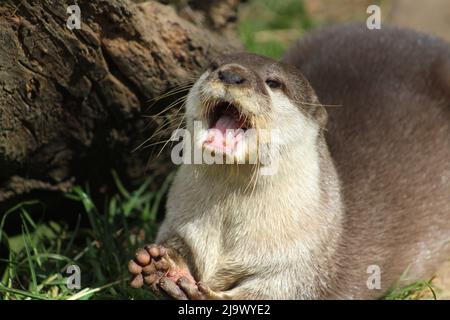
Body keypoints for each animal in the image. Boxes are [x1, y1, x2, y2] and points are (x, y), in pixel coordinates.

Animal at [127, 24, 450, 300]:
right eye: (213, 66)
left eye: (273, 83)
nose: (231, 75)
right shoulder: (179, 221)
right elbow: (176, 243)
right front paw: (161, 264)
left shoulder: (303, 261)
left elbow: (276, 291)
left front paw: (208, 294)